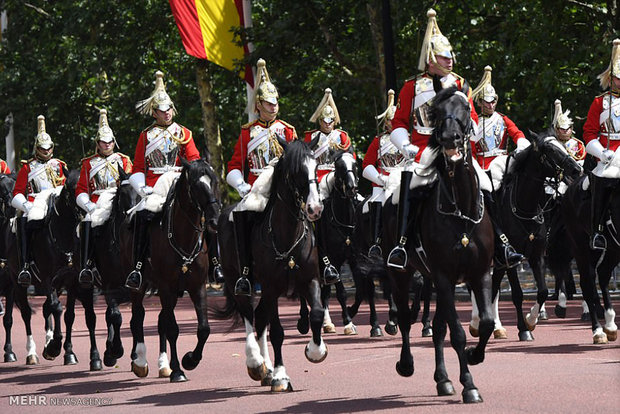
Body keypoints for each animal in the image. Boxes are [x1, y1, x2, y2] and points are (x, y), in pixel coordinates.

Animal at [128, 158, 220, 382]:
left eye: (214, 182)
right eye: (196, 185)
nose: (214, 220)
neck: (183, 236)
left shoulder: (197, 287)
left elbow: (203, 329)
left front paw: (190, 360)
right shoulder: (166, 287)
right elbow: (172, 329)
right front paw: (178, 369)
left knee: (159, 318)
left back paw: (162, 365)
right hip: (139, 285)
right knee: (138, 316)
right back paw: (140, 361)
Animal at [217, 137, 324, 392]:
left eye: (316, 166)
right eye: (295, 171)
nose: (315, 208)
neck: (287, 234)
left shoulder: (311, 280)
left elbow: (316, 314)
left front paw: (315, 351)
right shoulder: (271, 287)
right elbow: (277, 332)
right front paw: (281, 376)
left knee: (260, 317)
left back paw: (265, 369)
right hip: (239, 282)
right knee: (249, 314)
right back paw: (256, 363)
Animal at [382, 86, 494, 402]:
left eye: (466, 108)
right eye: (435, 111)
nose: (449, 139)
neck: (462, 210)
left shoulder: (480, 273)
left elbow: (486, 323)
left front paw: (474, 356)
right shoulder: (444, 277)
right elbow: (457, 333)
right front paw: (469, 385)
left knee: (438, 328)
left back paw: (443, 379)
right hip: (401, 274)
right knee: (405, 319)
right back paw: (406, 364)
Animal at [482, 131, 584, 342]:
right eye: (551, 150)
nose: (577, 170)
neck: (525, 207)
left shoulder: (537, 255)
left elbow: (543, 291)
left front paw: (531, 319)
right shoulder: (512, 260)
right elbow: (518, 294)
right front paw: (524, 328)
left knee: (494, 288)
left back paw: (496, 327)